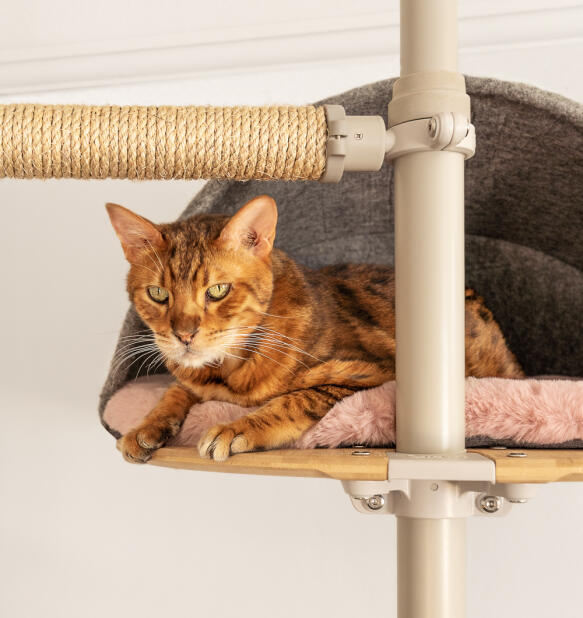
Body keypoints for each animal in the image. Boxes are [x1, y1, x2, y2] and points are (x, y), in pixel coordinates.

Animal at [106, 195, 524, 460]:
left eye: (218, 290)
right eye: (158, 293)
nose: (184, 334)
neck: (228, 373)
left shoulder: (370, 373)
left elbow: (294, 399)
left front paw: (238, 428)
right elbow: (173, 392)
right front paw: (146, 426)